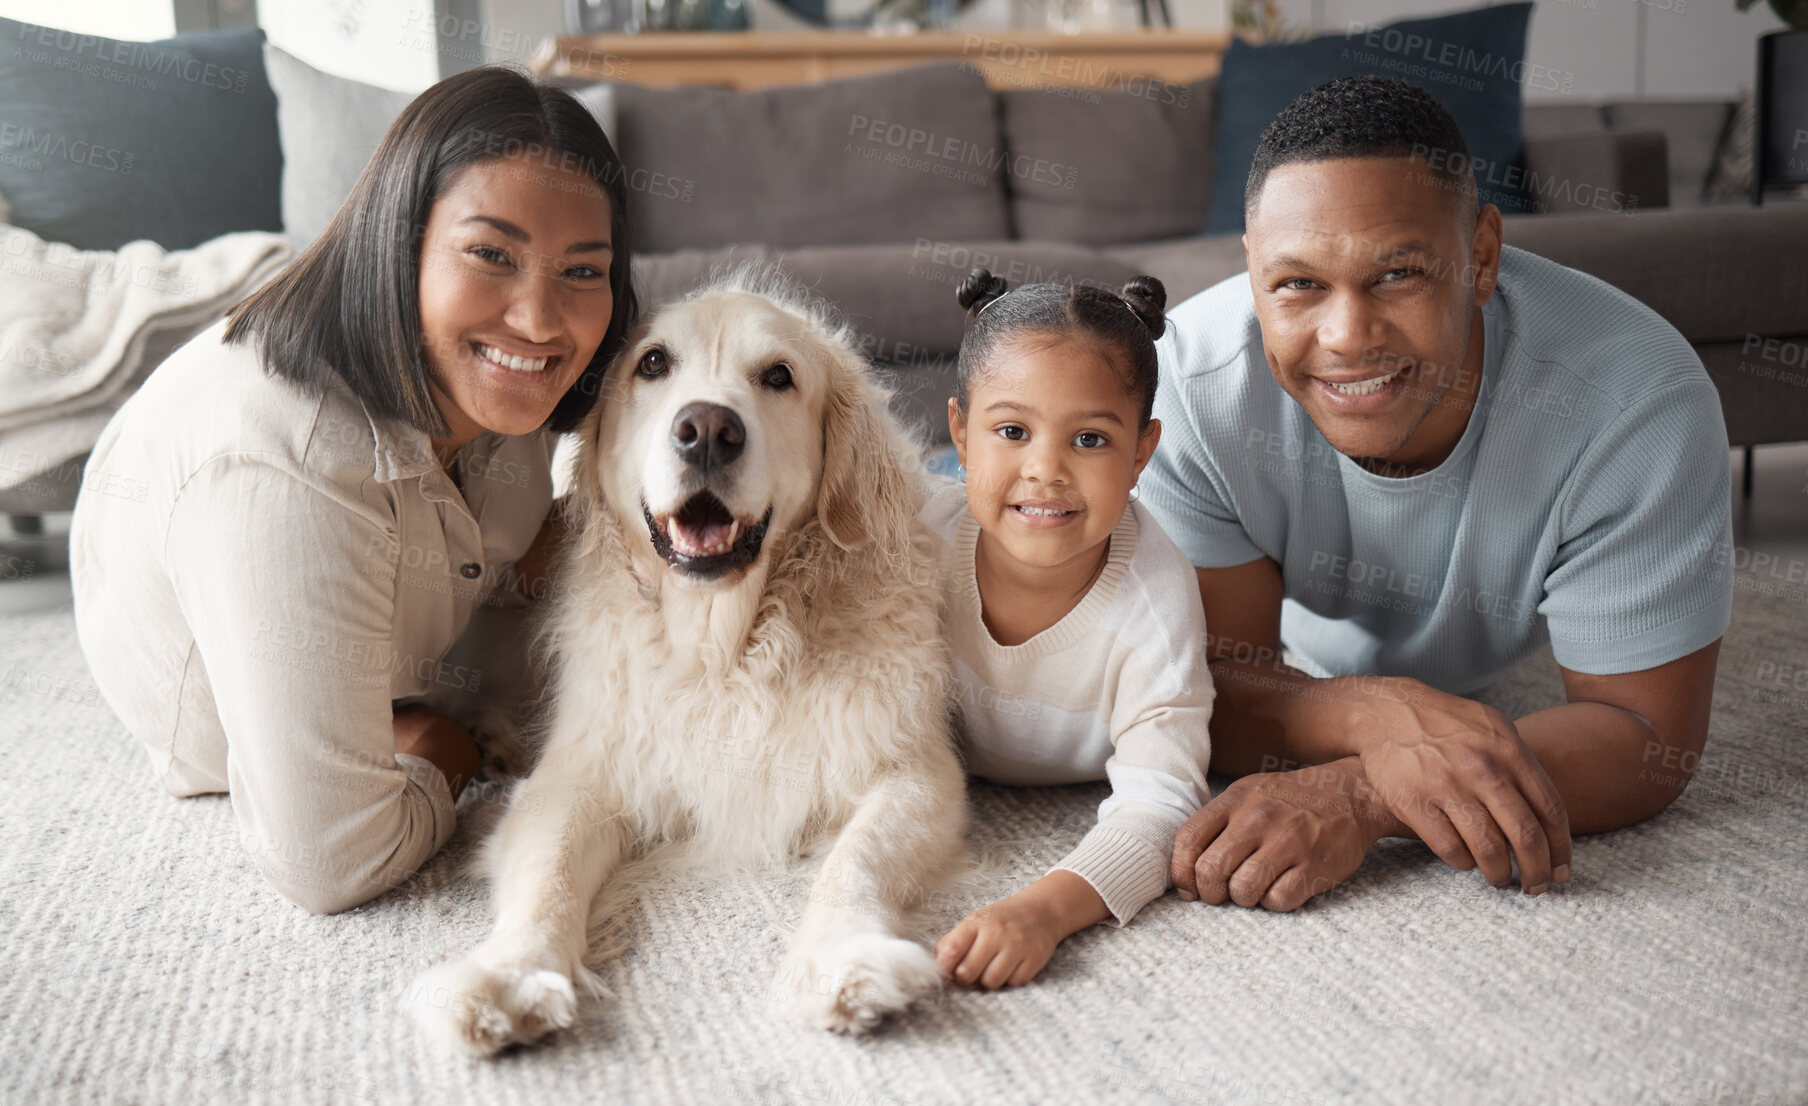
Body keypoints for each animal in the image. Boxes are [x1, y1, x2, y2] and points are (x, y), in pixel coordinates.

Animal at [410, 265, 969, 1055]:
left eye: (779, 376)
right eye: (652, 364)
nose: (707, 430)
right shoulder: (581, 776)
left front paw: (841, 959)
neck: (722, 650)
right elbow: (548, 873)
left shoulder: (913, 771)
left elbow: (856, 862)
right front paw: (508, 973)